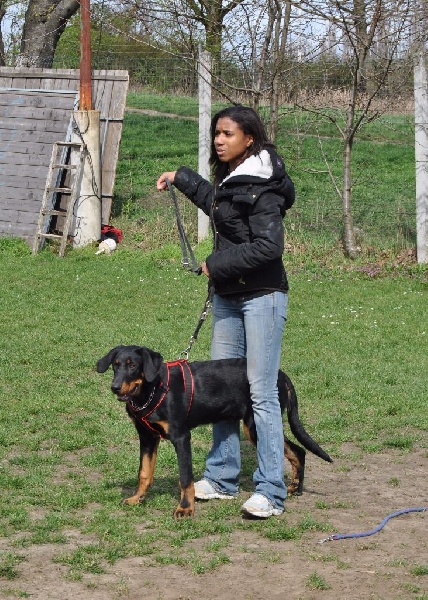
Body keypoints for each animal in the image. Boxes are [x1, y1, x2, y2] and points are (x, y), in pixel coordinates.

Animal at [97, 344, 332, 516]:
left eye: (132, 366)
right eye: (115, 365)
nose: (114, 387)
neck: (152, 390)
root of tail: (282, 375)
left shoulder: (181, 437)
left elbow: (185, 478)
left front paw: (185, 508)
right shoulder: (147, 438)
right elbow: (144, 472)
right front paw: (137, 498)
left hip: (255, 425)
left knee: (295, 449)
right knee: (298, 451)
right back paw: (294, 488)